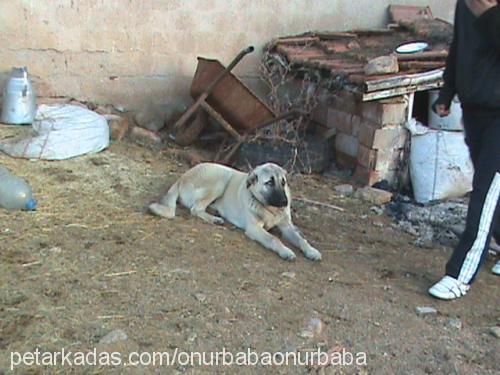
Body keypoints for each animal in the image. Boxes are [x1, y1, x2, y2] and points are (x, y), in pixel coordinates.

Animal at [148, 162, 322, 262]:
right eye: (269, 182)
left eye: (283, 182)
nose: (284, 202)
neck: (268, 209)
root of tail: (181, 178)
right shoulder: (254, 228)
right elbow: (273, 239)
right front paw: (285, 251)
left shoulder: (287, 227)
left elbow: (301, 240)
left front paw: (311, 251)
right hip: (222, 177)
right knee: (195, 209)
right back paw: (214, 219)